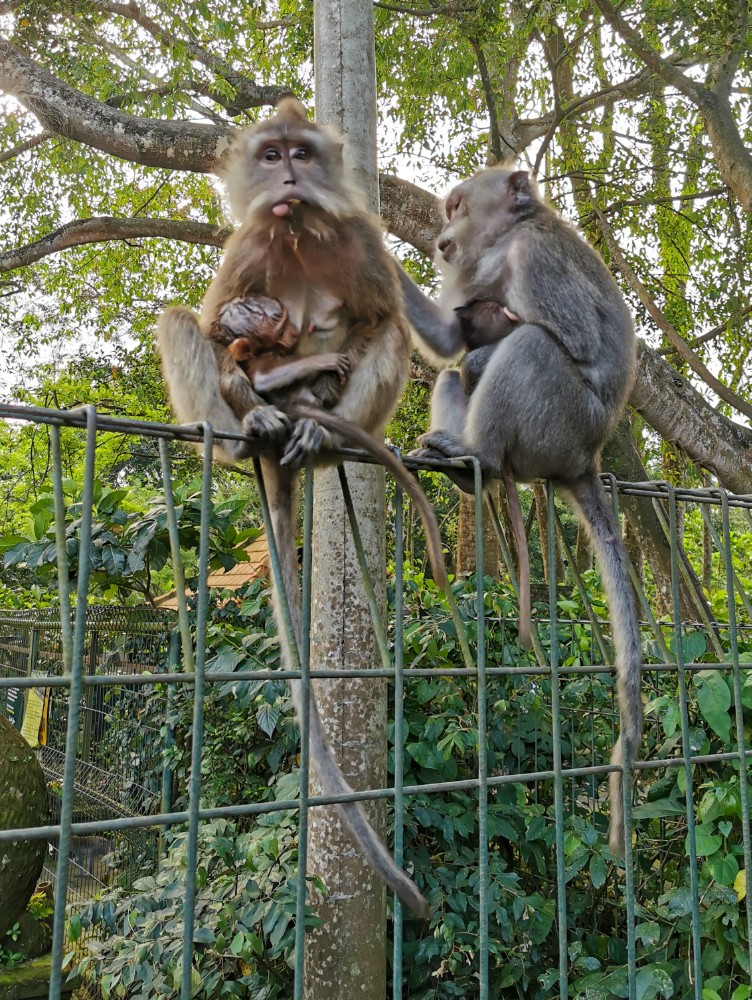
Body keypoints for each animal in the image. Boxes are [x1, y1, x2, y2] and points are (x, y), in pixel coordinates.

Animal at [157, 96, 432, 916]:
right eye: (271, 152)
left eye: (302, 155)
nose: (287, 176)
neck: (298, 233)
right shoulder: (248, 245)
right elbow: (213, 328)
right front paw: (252, 380)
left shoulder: (361, 237)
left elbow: (377, 317)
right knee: (183, 323)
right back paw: (245, 429)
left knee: (386, 332)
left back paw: (317, 432)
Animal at [398, 167, 642, 857]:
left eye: (458, 204)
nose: (443, 234)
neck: (506, 244)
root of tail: (584, 458)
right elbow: (450, 340)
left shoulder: (534, 259)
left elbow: (567, 341)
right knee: (454, 372)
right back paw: (461, 466)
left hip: (557, 424)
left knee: (532, 347)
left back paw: (475, 450)